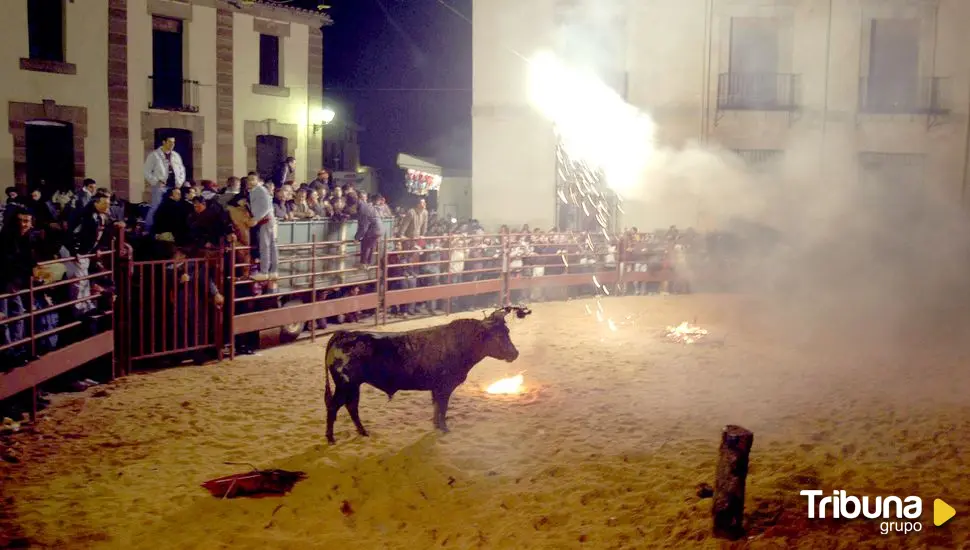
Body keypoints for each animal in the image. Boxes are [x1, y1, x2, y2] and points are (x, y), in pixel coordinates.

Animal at [324, 308, 528, 446]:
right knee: (334, 407)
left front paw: (437, 426)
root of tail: (344, 334)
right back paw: (331, 438)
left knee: (351, 406)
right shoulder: (444, 387)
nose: (515, 353)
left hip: (353, 386)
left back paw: (363, 432)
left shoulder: (436, 389)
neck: (459, 344)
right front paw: (444, 428)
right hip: (345, 385)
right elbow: (442, 408)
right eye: (500, 335)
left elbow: (437, 408)